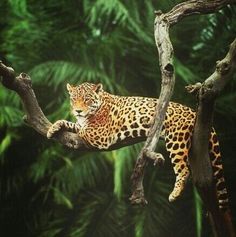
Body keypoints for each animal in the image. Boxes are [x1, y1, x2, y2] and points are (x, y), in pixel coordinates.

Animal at [46, 82, 229, 211]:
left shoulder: (100, 135)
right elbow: (72, 123)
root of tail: (194, 113)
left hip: (175, 140)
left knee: (183, 169)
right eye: (74, 99)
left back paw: (174, 194)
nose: (78, 111)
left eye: (87, 100)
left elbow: (81, 128)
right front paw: (53, 127)